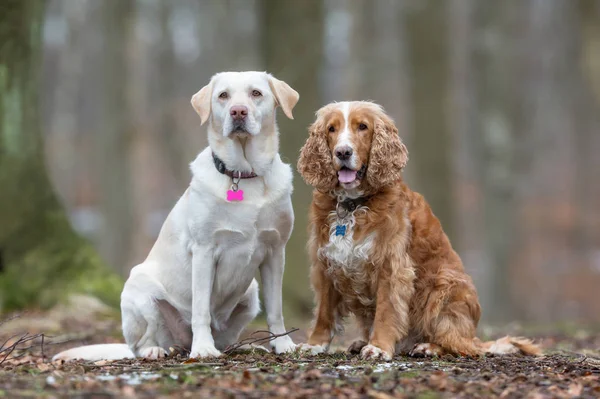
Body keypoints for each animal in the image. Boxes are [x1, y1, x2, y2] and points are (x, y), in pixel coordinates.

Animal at [53, 72, 300, 362]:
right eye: (223, 96)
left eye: (256, 93)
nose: (238, 111)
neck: (243, 174)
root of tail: (181, 345)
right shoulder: (204, 251)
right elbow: (201, 309)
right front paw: (203, 349)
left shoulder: (275, 251)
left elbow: (276, 309)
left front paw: (283, 345)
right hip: (141, 289)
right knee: (142, 343)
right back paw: (157, 350)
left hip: (251, 294)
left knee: (227, 339)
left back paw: (243, 347)